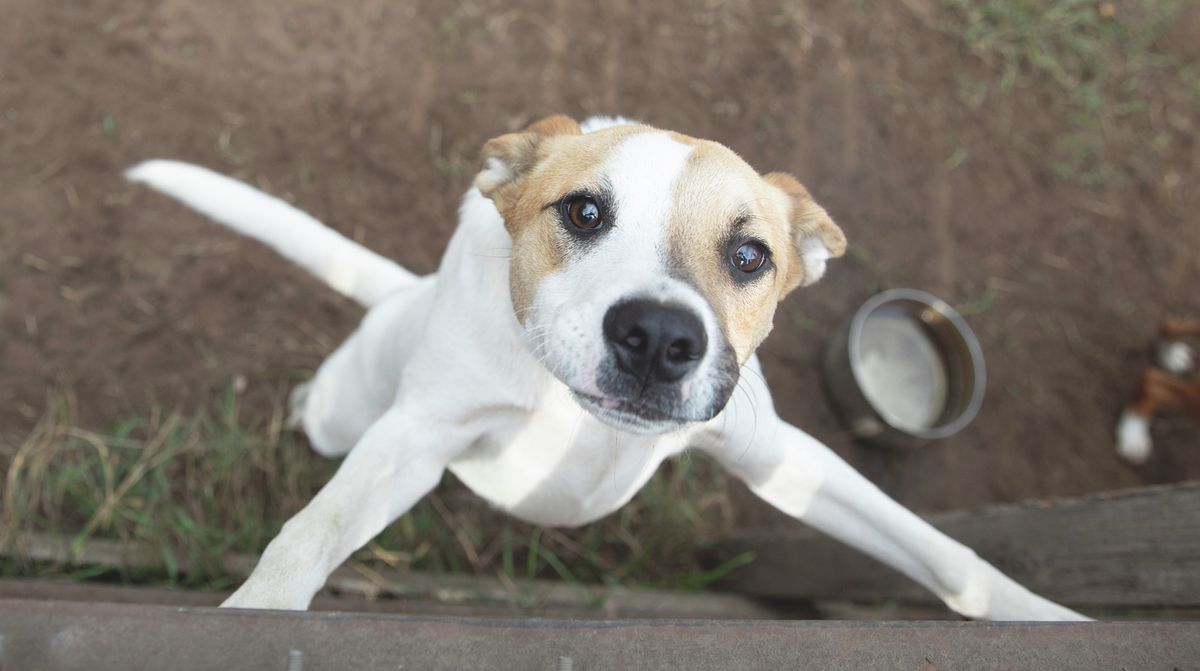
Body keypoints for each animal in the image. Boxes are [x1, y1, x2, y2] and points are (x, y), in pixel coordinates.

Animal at [124, 114, 1089, 619]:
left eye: (750, 256)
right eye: (584, 211)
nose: (658, 337)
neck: (573, 419)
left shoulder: (784, 459)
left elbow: (946, 551)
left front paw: (1046, 618)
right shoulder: (416, 439)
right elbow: (309, 532)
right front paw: (255, 614)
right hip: (349, 412)